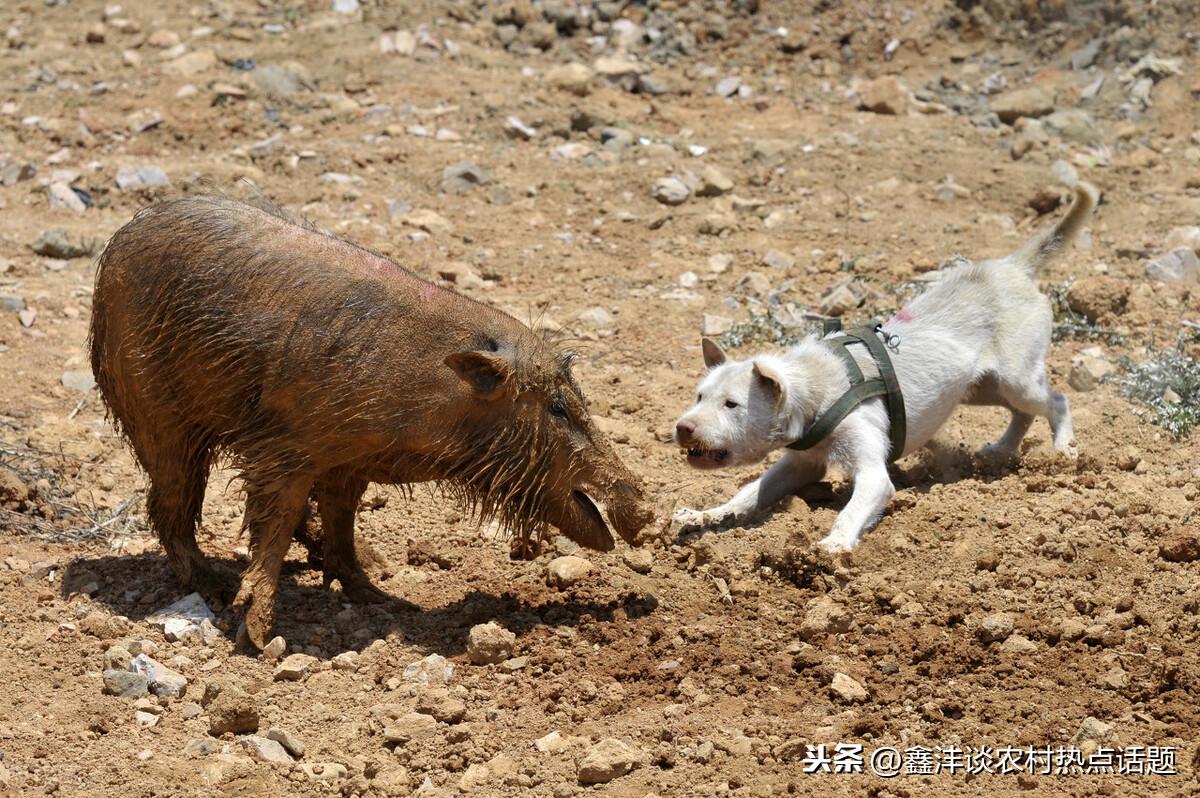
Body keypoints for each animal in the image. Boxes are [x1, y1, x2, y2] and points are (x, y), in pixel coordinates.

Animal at [676, 183, 1099, 552]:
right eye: (699, 396)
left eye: (732, 405)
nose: (682, 428)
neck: (817, 386)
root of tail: (1010, 267)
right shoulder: (801, 464)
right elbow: (748, 493)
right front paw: (706, 515)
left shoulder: (871, 471)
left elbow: (852, 509)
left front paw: (833, 546)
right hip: (980, 389)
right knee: (1022, 413)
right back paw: (1003, 450)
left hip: (1016, 379)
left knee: (1056, 400)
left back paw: (1063, 451)